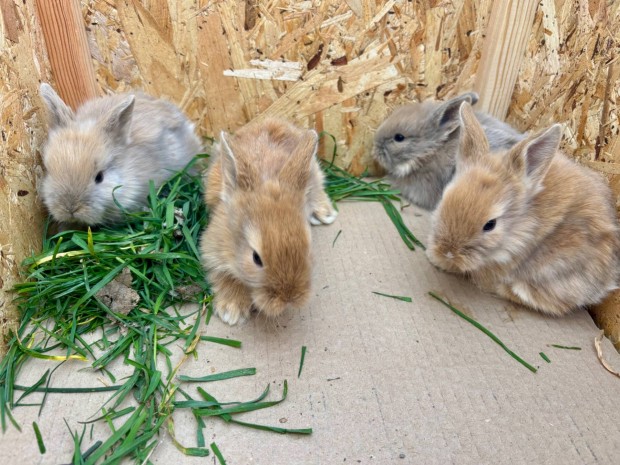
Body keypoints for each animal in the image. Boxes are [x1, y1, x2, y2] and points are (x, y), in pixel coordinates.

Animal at [200, 118, 337, 325]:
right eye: (256, 258)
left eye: (307, 249)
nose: (288, 298)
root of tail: (272, 120)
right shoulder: (213, 247)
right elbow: (223, 275)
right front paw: (232, 311)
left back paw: (325, 213)